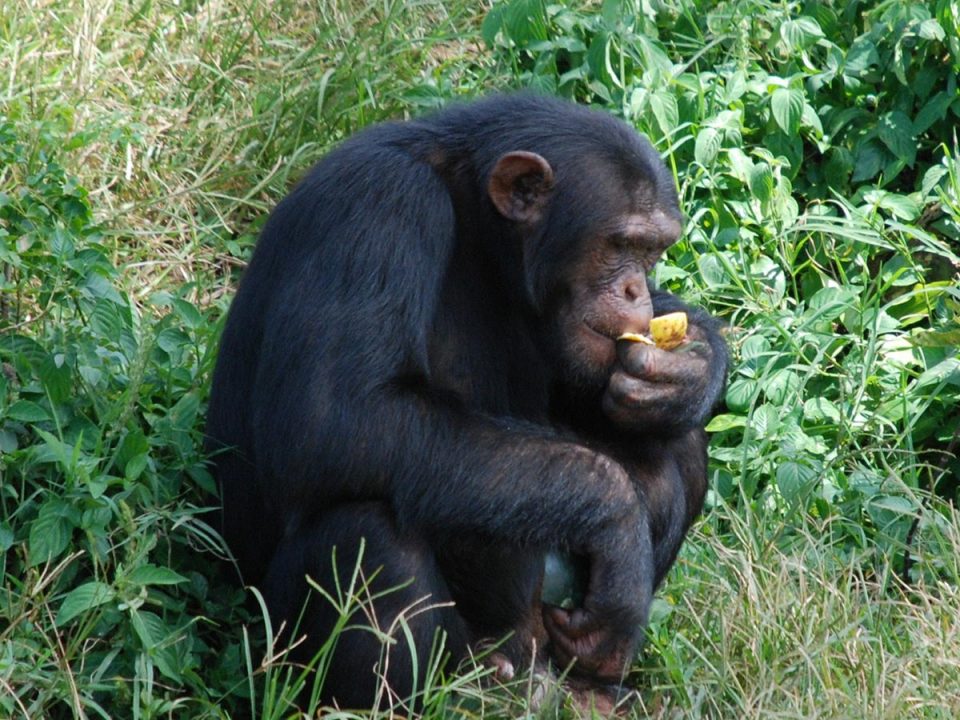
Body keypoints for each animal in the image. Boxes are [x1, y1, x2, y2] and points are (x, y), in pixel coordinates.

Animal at [206, 93, 724, 704]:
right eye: (619, 244)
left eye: (652, 251)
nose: (635, 288)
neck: (479, 225)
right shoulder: (379, 202)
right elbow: (337, 416)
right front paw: (619, 528)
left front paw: (691, 370)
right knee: (371, 537)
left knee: (679, 448)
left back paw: (590, 687)